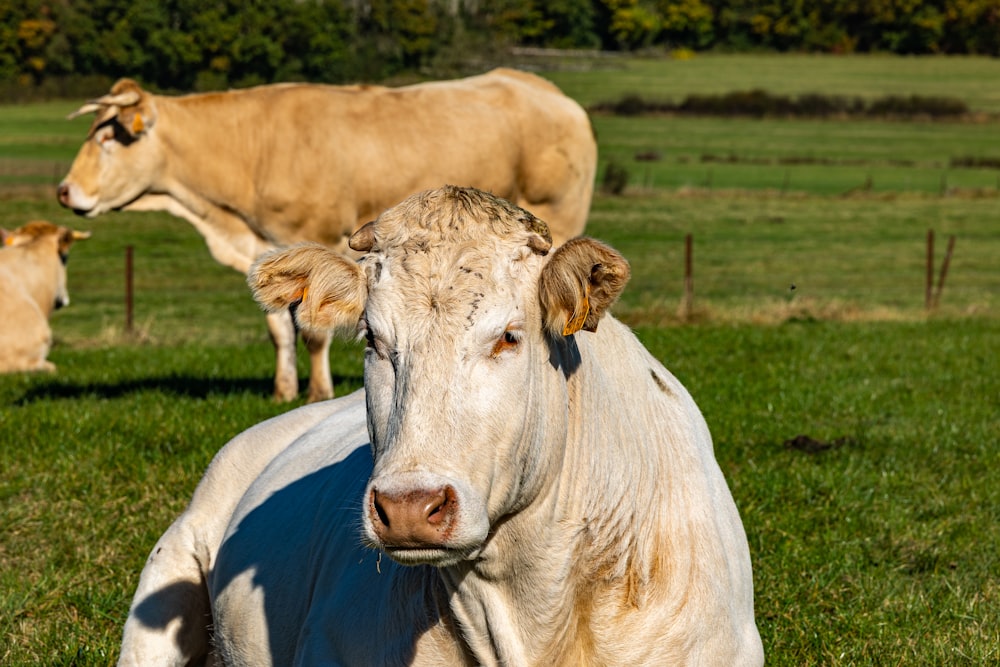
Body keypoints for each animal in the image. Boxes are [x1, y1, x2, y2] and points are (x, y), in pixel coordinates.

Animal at [60, 69, 592, 402]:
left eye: (107, 138)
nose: (65, 192)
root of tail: (544, 90)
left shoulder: (316, 236)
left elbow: (313, 330)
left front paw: (317, 392)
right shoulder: (269, 249)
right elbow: (279, 328)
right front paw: (283, 389)